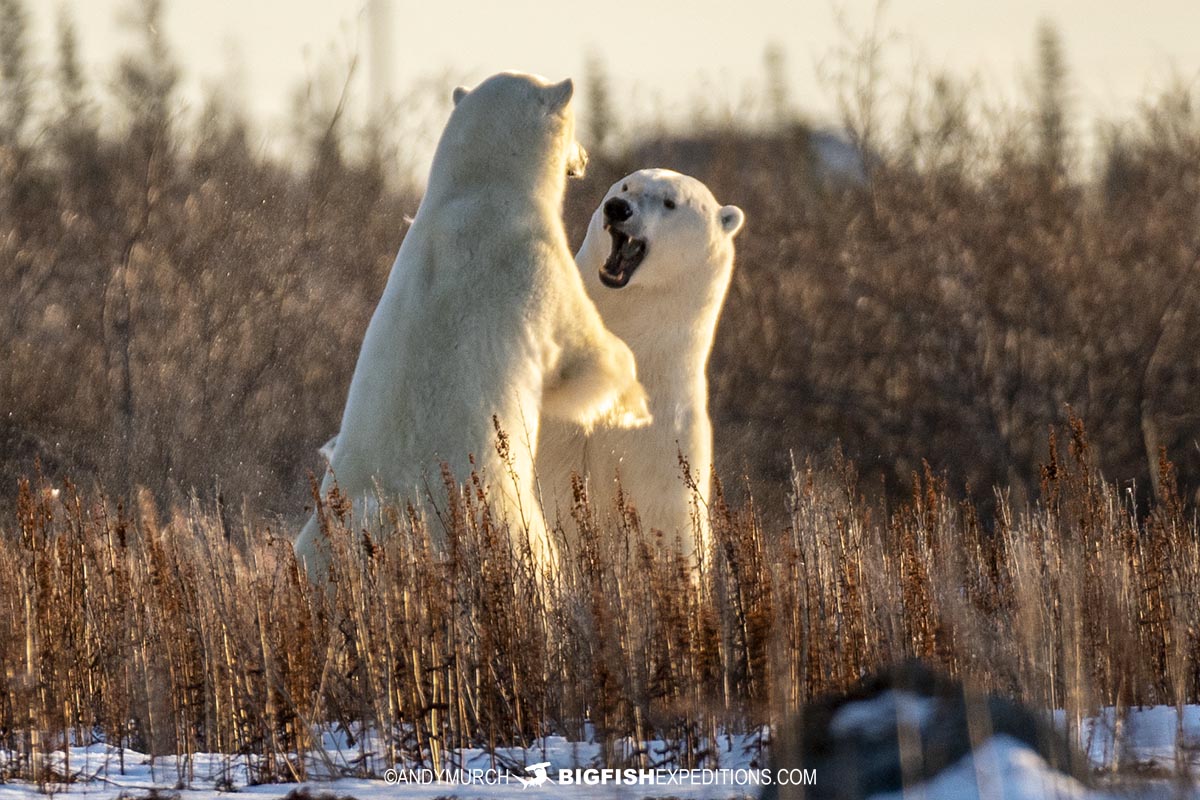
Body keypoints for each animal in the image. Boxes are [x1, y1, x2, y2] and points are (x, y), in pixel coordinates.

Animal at [295, 71, 652, 578]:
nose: (583, 158)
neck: (478, 191)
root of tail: (387, 514)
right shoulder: (537, 263)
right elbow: (583, 355)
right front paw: (634, 398)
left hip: (320, 543)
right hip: (498, 507)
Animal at [535, 169, 739, 566]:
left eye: (670, 202)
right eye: (626, 186)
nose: (618, 209)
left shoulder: (667, 450)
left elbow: (666, 526)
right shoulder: (558, 431)